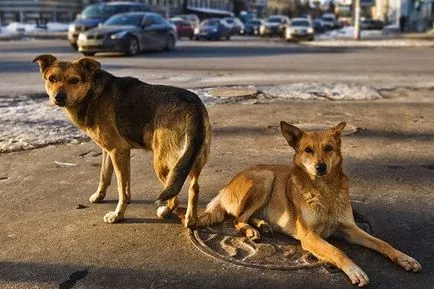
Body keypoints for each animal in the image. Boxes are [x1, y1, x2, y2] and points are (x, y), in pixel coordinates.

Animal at [33, 53, 210, 226]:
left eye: (74, 80)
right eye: (52, 78)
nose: (59, 97)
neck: (92, 94)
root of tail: (192, 106)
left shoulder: (116, 151)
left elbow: (121, 189)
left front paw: (118, 215)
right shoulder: (114, 151)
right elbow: (106, 176)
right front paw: (99, 196)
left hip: (163, 163)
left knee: (174, 197)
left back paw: (165, 212)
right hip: (191, 159)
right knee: (194, 188)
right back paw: (191, 219)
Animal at [198, 120, 422, 284]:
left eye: (329, 148)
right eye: (308, 150)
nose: (320, 167)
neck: (325, 191)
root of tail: (227, 185)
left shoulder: (350, 229)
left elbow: (382, 243)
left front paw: (404, 258)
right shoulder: (309, 236)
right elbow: (337, 250)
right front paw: (354, 270)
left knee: (246, 216)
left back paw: (263, 224)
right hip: (265, 177)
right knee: (237, 218)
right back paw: (252, 230)